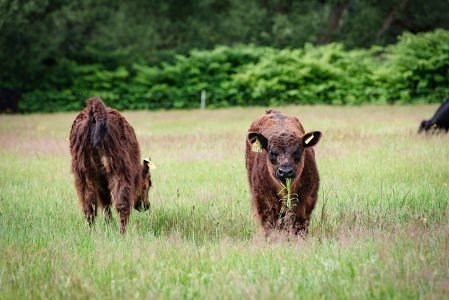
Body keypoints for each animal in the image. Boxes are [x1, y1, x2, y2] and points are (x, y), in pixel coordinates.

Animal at [69, 97, 151, 233]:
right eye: (149, 184)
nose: (147, 206)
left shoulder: (100, 180)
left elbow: (105, 201)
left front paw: (108, 224)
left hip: (83, 173)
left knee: (88, 205)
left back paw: (91, 232)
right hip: (118, 169)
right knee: (122, 203)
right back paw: (123, 232)